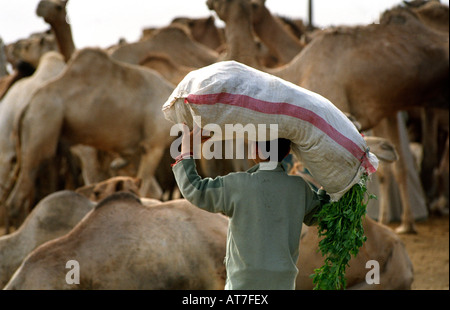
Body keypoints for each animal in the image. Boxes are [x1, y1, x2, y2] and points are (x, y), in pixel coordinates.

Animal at [3, 46, 176, 225]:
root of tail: (26, 107)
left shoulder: (135, 150)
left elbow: (151, 190)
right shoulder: (153, 145)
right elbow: (146, 185)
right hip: (42, 122)